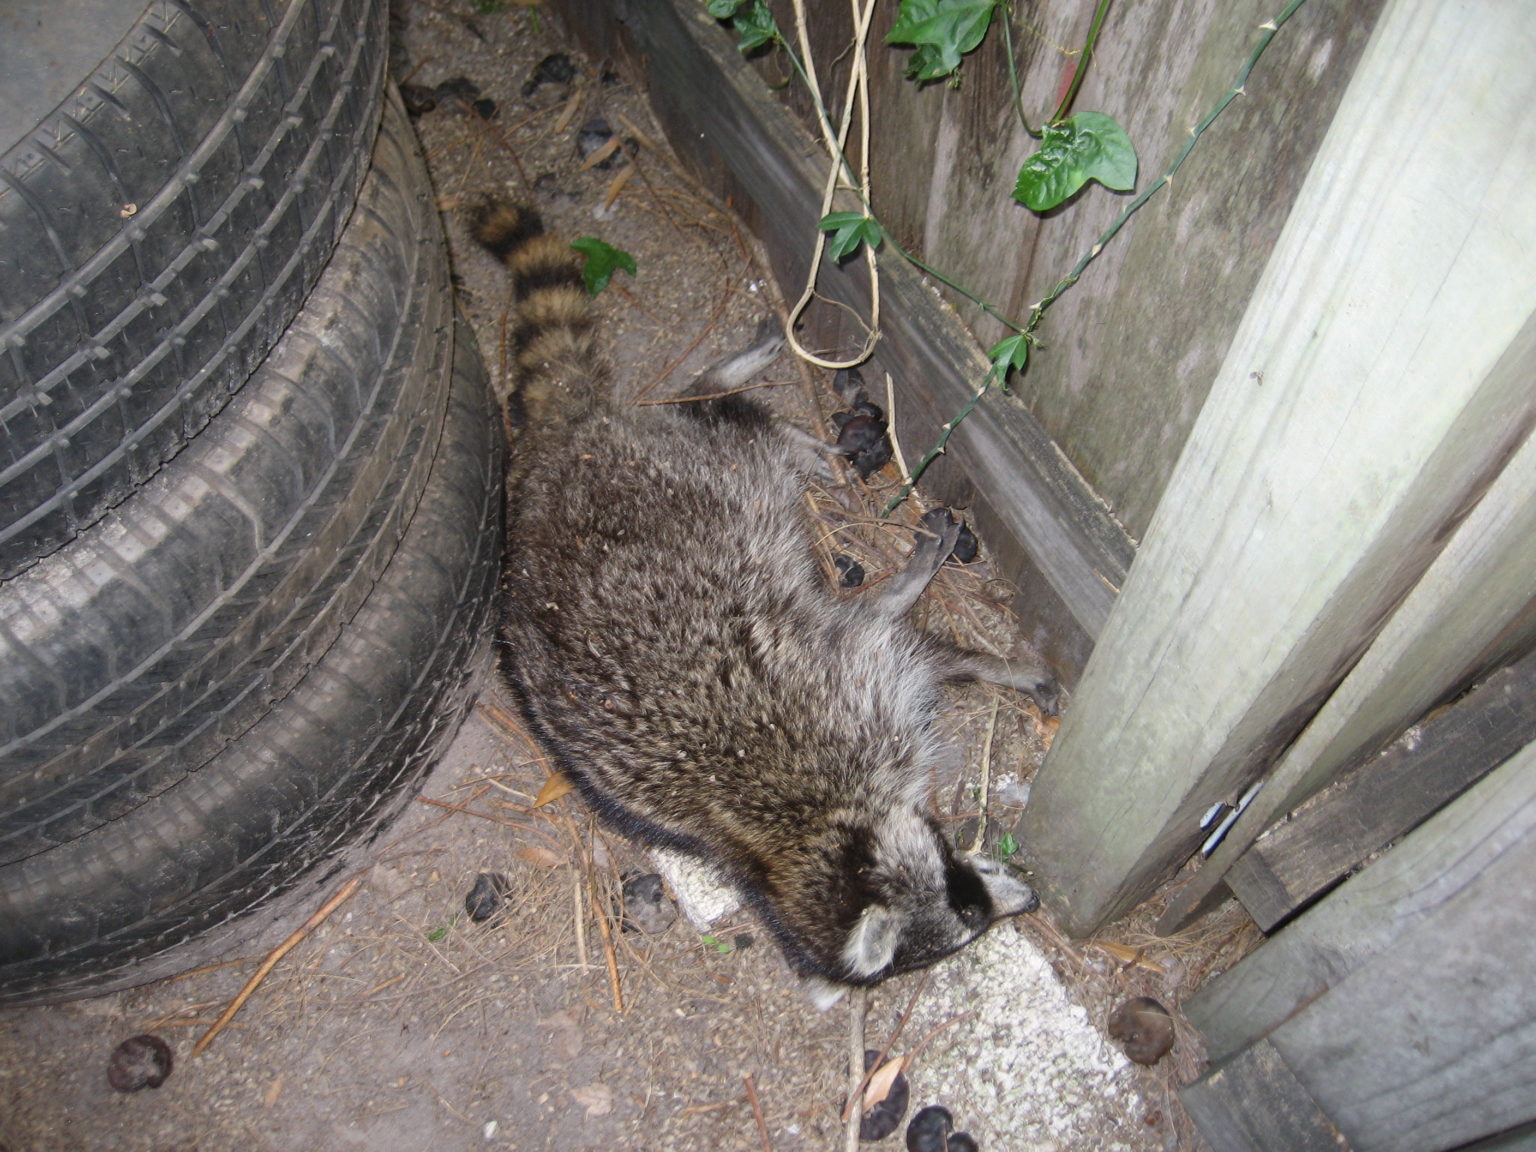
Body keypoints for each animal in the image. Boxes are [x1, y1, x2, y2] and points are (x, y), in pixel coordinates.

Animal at [472, 201, 1058, 1001]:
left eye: (962, 890)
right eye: (968, 912)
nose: (1030, 897)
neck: (800, 829)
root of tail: (559, 447)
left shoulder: (827, 680)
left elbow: (877, 628)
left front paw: (991, 660)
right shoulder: (839, 688)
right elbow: (891, 632)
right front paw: (971, 648)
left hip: (679, 463)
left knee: (709, 411)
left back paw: (748, 394)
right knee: (722, 422)